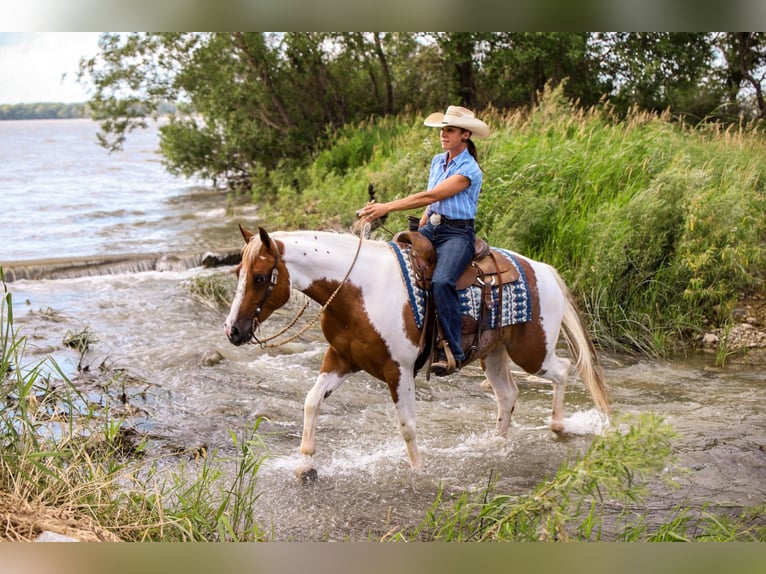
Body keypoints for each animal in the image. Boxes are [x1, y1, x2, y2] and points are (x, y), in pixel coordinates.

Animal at [225, 225, 608, 482]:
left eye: (260, 278)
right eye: (238, 272)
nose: (233, 331)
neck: (358, 290)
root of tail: (544, 270)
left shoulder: (398, 369)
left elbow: (407, 426)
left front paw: (419, 471)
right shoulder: (341, 359)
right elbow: (311, 402)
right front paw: (305, 465)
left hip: (533, 352)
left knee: (563, 370)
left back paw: (557, 426)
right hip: (495, 352)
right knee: (508, 394)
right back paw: (497, 444)